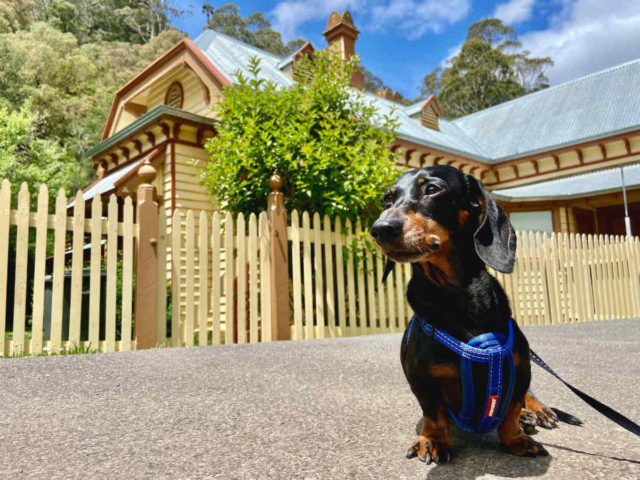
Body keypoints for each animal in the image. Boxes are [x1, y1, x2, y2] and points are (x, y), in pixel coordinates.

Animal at [370, 167, 568, 464]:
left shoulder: (521, 367)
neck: (458, 298)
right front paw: (432, 440)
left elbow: (510, 410)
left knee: (524, 399)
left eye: (432, 189)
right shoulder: (420, 378)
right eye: (387, 198)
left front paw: (516, 438)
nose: (380, 229)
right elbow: (433, 412)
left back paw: (534, 411)